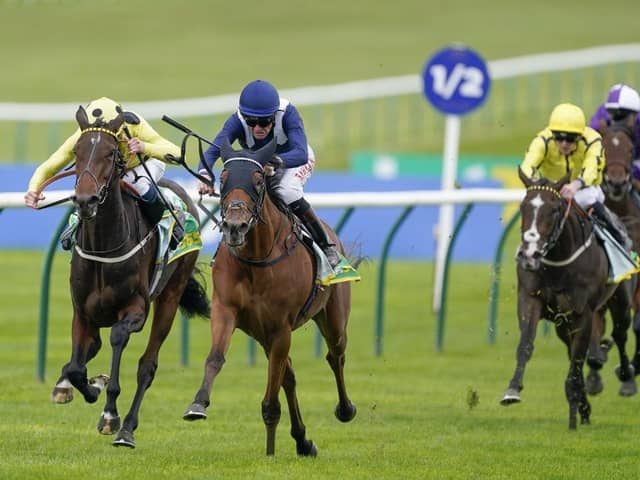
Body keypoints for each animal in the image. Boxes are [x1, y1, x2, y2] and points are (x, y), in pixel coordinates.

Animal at [51, 107, 210, 448]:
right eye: (77, 152)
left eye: (111, 153)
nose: (85, 200)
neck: (104, 246)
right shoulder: (81, 311)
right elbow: (75, 366)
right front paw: (83, 385)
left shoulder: (136, 309)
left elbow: (118, 338)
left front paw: (109, 413)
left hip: (170, 295)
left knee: (147, 366)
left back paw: (126, 429)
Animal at [182, 140, 358, 458]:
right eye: (223, 179)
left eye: (258, 180)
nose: (235, 226)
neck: (256, 257)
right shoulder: (227, 311)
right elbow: (215, 358)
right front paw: (198, 404)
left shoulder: (280, 327)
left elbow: (272, 393)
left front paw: (270, 448)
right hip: (263, 334)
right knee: (289, 376)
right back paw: (302, 440)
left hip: (332, 318)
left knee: (335, 355)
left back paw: (345, 410)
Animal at [500, 168, 636, 428]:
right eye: (523, 206)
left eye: (554, 209)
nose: (529, 254)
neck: (558, 262)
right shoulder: (531, 299)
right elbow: (526, 344)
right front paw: (512, 389)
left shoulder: (583, 313)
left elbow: (578, 358)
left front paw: (575, 403)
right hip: (562, 324)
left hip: (621, 300)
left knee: (620, 335)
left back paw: (626, 378)